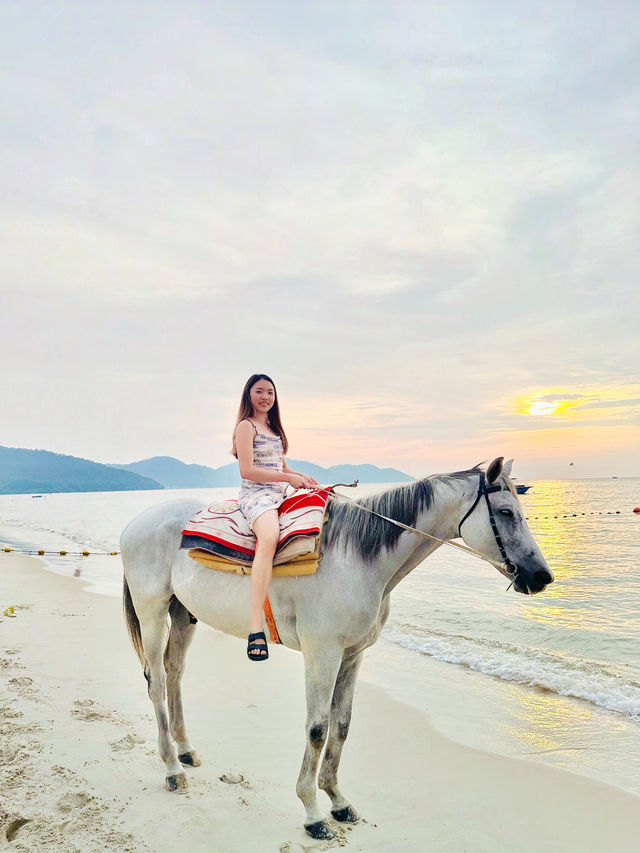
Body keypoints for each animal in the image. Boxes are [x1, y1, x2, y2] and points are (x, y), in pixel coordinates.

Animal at [122, 460, 552, 840]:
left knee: (174, 674)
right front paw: (313, 812)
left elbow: (342, 725)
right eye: (506, 512)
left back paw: (185, 750)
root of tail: (135, 523)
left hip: (183, 615)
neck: (357, 559)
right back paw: (171, 767)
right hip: (152, 611)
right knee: (156, 682)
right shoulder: (322, 654)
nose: (542, 576)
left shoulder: (352, 655)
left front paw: (338, 800)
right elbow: (317, 728)